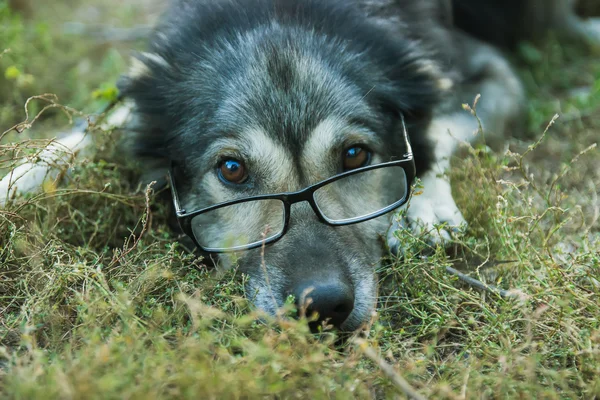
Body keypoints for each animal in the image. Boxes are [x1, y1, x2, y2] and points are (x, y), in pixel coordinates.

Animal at [1, 0, 600, 332]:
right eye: (232, 170)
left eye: (355, 155)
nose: (323, 307)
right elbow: (96, 124)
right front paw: (18, 177)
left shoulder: (487, 70)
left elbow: (441, 124)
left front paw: (423, 205)